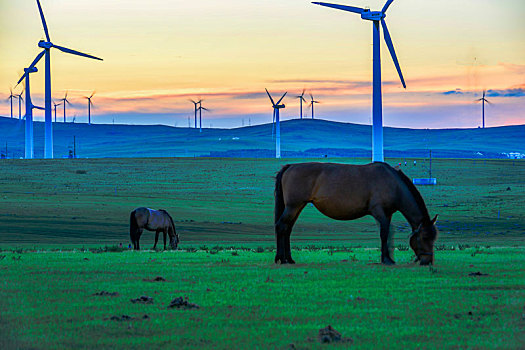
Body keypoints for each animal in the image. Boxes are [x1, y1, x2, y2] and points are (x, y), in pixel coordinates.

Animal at [272, 163, 436, 266]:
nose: (427, 261)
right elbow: (384, 234)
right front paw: (386, 259)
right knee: (281, 226)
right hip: (293, 207)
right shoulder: (379, 213)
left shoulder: (387, 214)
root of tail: (290, 166)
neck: (392, 183)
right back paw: (281, 259)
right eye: (424, 238)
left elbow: (388, 234)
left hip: (297, 207)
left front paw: (388, 257)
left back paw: (290, 259)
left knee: (287, 229)